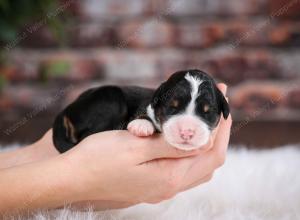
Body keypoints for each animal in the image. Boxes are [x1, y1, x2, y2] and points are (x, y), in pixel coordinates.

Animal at [52, 69, 230, 153]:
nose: (187, 132)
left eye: (207, 112)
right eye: (172, 107)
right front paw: (141, 125)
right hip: (111, 98)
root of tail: (67, 109)